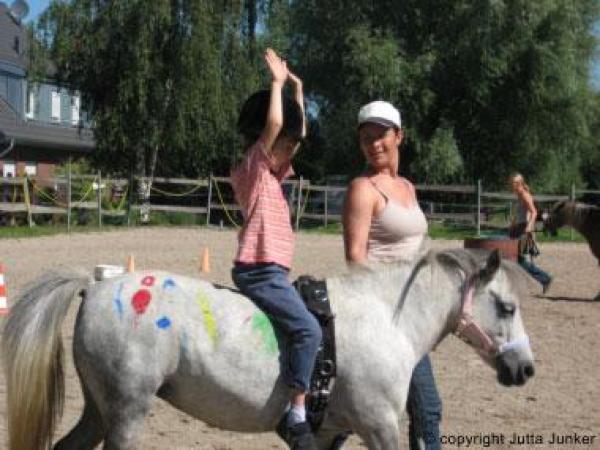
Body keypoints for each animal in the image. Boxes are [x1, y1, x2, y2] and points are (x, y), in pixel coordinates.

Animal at [1, 248, 536, 448]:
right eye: (507, 307)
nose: (526, 368)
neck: (388, 318)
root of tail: (96, 288)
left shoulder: (329, 433)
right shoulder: (380, 426)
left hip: (100, 409)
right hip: (127, 412)